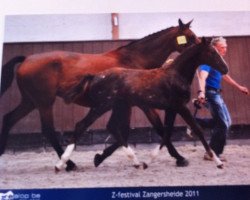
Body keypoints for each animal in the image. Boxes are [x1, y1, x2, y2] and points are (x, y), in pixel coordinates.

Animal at [0, 19, 199, 171]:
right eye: (189, 37)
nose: (200, 48)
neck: (134, 60)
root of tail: (26, 59)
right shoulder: (139, 104)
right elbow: (152, 128)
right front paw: (179, 158)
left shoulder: (128, 105)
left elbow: (130, 130)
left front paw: (100, 156)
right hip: (44, 103)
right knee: (48, 130)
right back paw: (69, 163)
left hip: (30, 102)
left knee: (9, 118)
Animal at [58, 38, 229, 170]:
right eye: (212, 52)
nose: (225, 69)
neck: (175, 75)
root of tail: (95, 76)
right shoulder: (181, 107)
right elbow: (197, 129)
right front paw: (218, 162)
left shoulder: (171, 109)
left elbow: (166, 132)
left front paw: (151, 160)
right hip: (102, 106)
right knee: (82, 125)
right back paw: (61, 164)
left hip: (117, 107)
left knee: (112, 127)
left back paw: (125, 160)